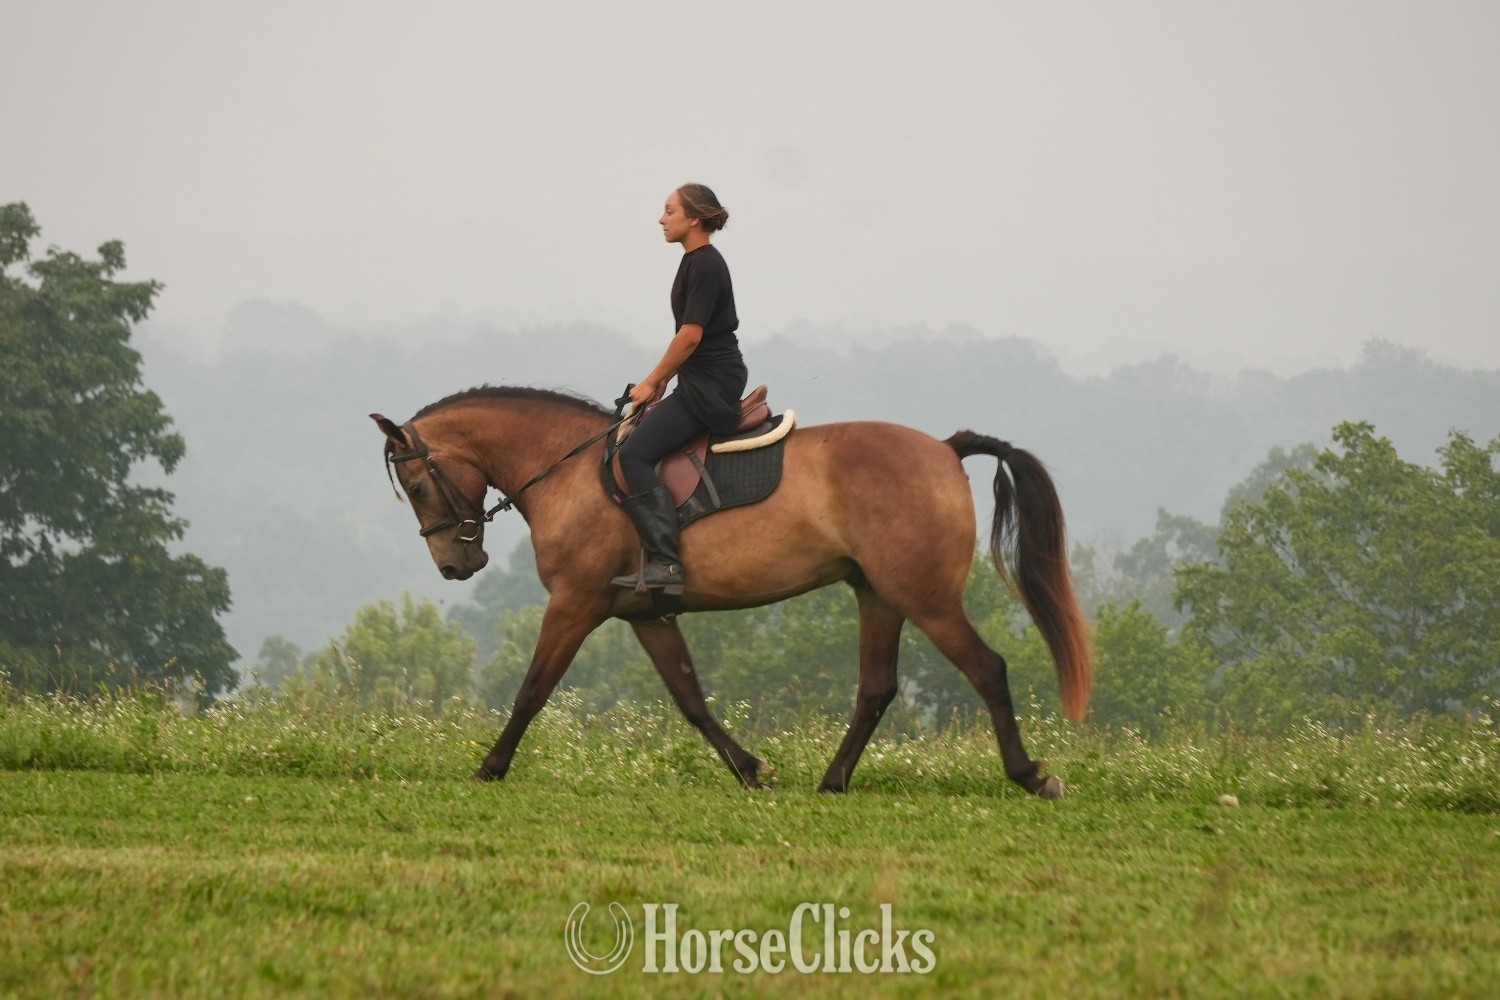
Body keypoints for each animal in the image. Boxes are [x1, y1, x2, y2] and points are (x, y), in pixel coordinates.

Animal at [371, 386, 1091, 798]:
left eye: (418, 485)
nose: (456, 564)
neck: (569, 471)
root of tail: (944, 448)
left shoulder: (576, 604)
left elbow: (531, 690)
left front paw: (490, 767)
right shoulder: (646, 615)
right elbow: (690, 698)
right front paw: (749, 769)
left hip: (926, 599)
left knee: (987, 668)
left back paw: (1030, 775)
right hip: (879, 595)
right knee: (877, 688)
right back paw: (833, 781)